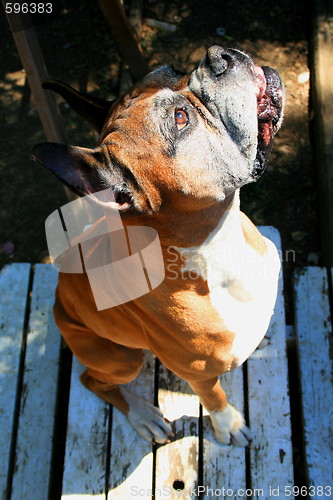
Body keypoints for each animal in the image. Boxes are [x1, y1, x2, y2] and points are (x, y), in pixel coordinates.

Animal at [32, 47, 282, 446]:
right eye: (181, 119)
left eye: (176, 69)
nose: (218, 56)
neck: (217, 247)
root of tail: (57, 306)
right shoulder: (198, 373)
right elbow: (214, 396)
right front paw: (228, 425)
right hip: (123, 359)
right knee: (93, 380)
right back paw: (143, 415)